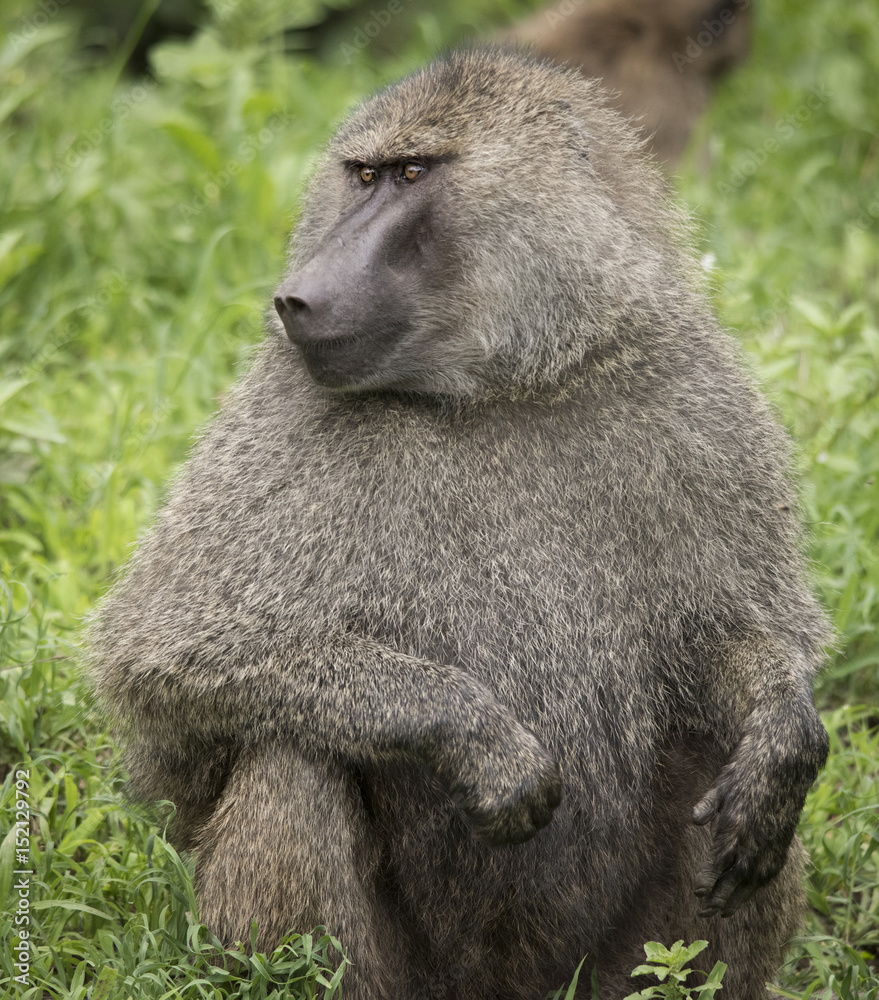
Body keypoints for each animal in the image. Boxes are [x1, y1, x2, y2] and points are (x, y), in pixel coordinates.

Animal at [87, 47, 829, 1000]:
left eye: (412, 173)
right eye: (361, 174)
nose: (298, 297)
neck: (501, 387)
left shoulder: (696, 404)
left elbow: (736, 635)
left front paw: (782, 740)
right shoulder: (281, 421)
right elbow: (169, 653)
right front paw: (478, 736)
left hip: (604, 965)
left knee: (716, 763)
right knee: (295, 753)